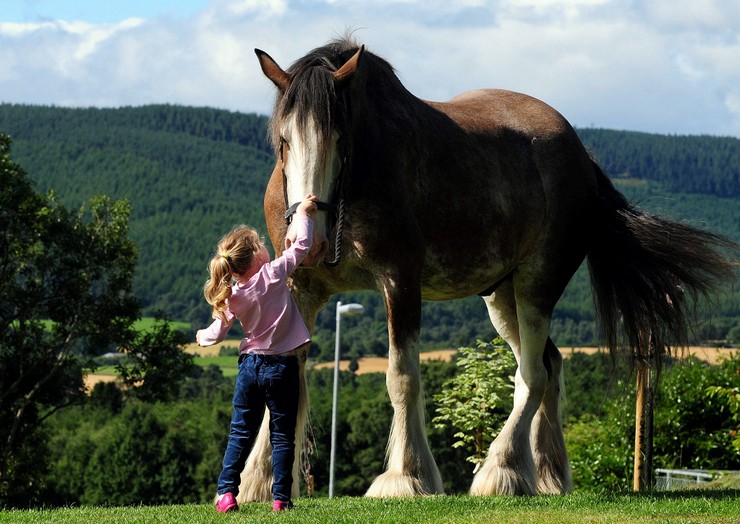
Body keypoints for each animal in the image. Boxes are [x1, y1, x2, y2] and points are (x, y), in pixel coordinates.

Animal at [236, 35, 736, 500]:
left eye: (341, 140)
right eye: (283, 140)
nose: (311, 239)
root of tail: (581, 156)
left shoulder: (400, 282)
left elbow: (402, 377)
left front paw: (408, 476)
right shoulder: (301, 290)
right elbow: (284, 376)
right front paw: (258, 481)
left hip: (536, 287)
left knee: (532, 376)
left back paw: (504, 469)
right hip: (502, 297)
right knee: (550, 366)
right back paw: (547, 474)